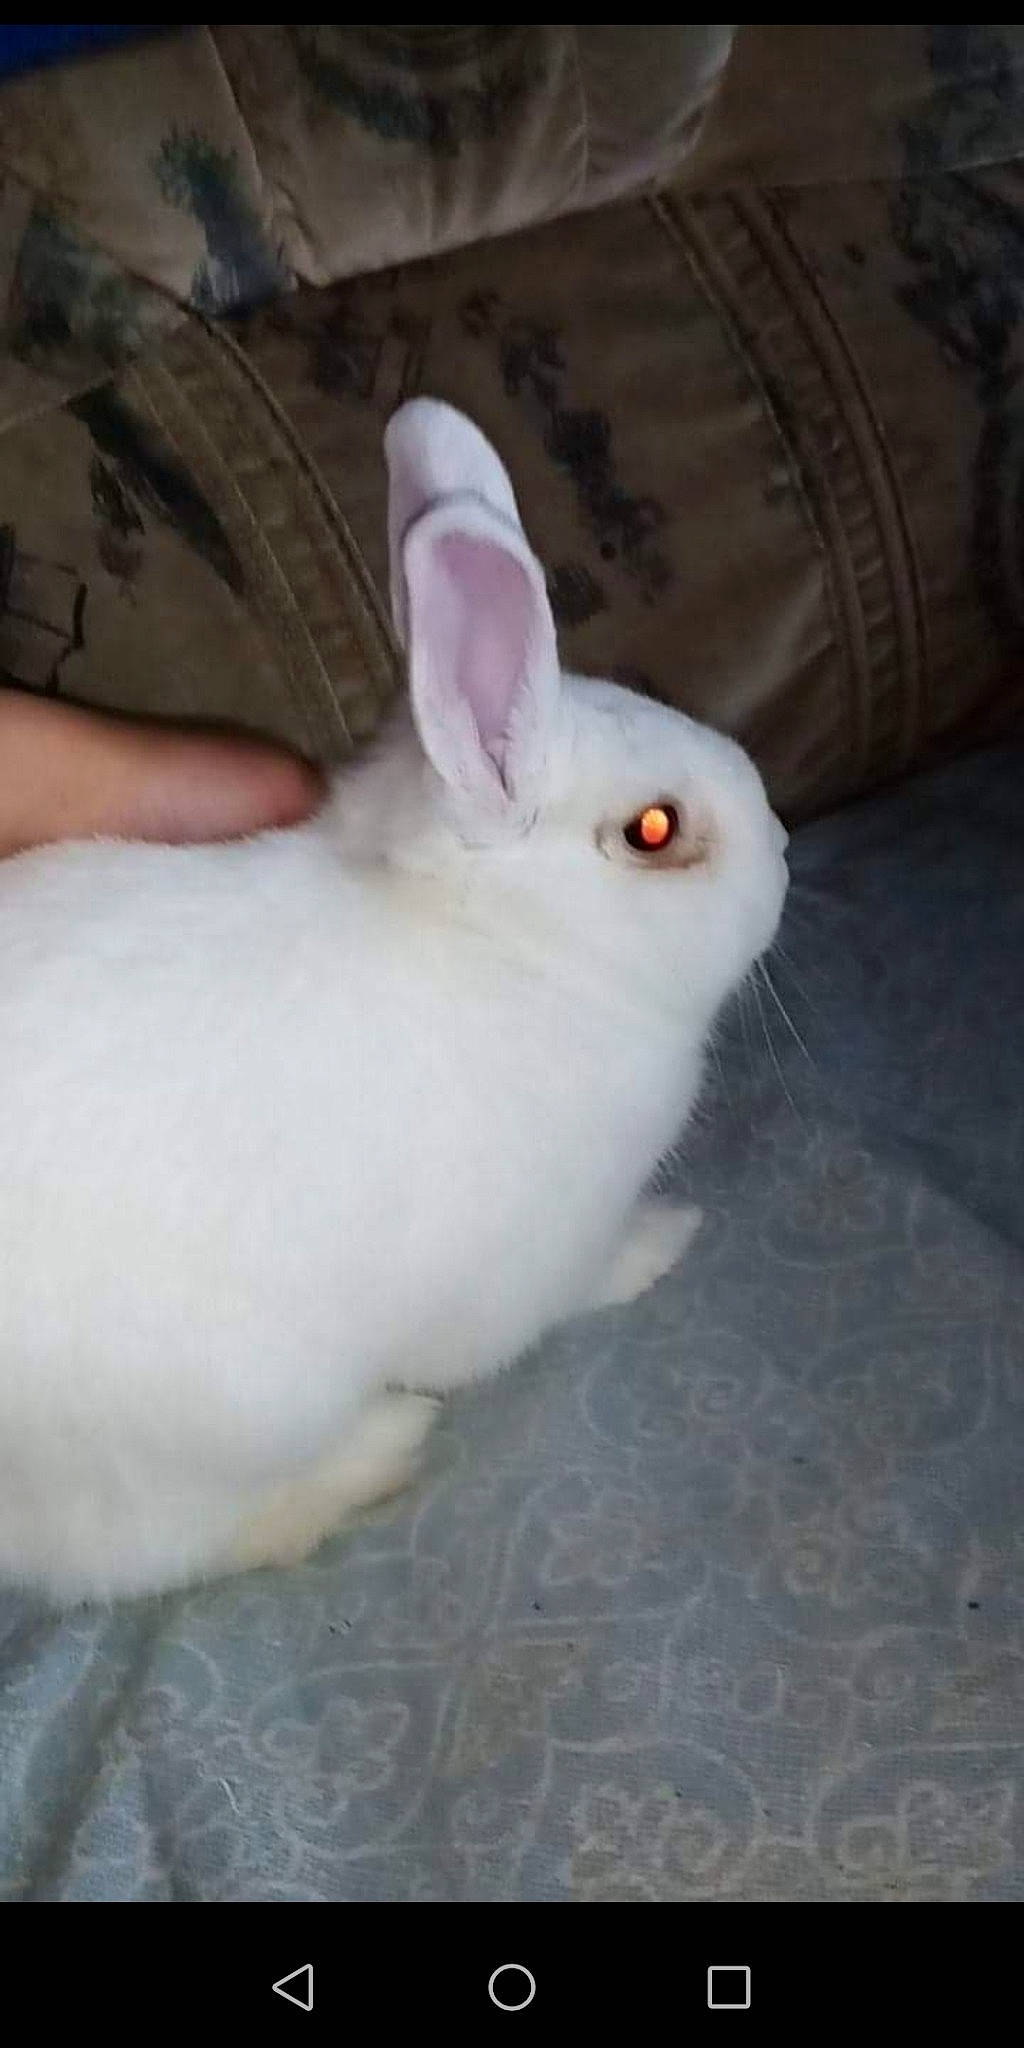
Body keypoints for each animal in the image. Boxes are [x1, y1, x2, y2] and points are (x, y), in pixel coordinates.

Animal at [0, 399, 788, 1603]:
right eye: (654, 830)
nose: (788, 851)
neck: (508, 948)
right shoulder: (534, 1260)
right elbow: (572, 1289)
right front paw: (661, 1241)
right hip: (217, 1421)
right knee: (156, 1547)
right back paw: (378, 1447)